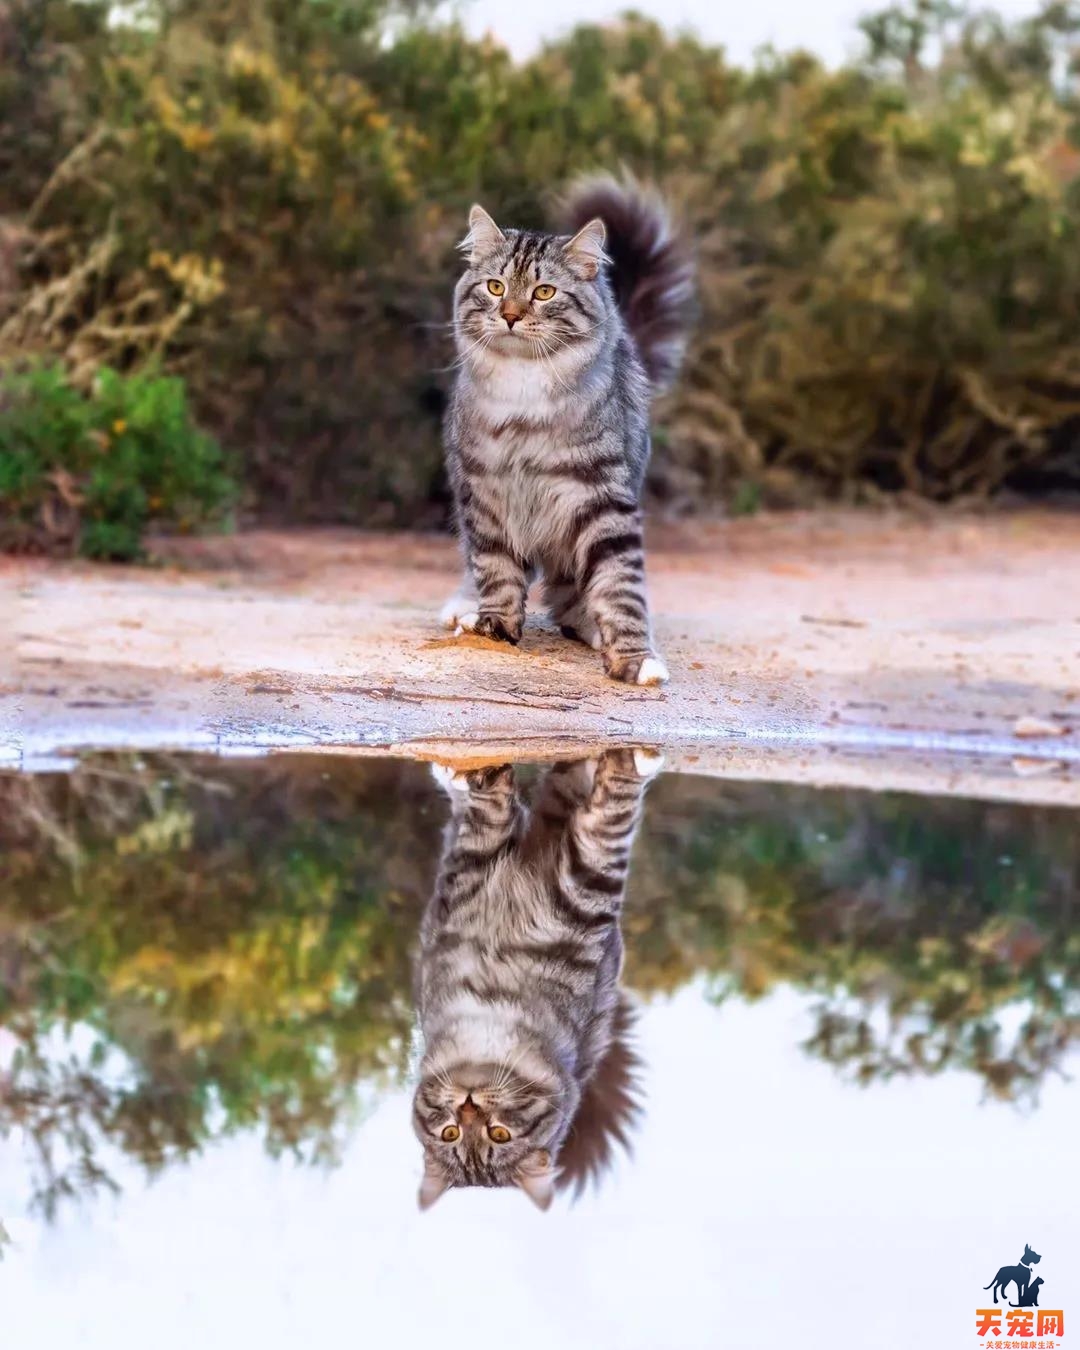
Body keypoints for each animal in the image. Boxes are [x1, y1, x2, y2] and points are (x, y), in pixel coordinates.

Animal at [410, 750, 658, 1215]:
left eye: (499, 1134)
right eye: (451, 1133)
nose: (468, 1107)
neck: (489, 1016)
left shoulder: (580, 890)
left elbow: (608, 818)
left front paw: (628, 765)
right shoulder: (471, 878)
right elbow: (491, 822)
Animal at [437, 176, 691, 685]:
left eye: (544, 292)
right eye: (496, 286)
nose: (511, 315)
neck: (524, 395)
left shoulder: (602, 498)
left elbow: (620, 585)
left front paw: (633, 658)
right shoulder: (485, 491)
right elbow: (495, 569)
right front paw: (494, 626)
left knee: (570, 597)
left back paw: (588, 625)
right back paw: (465, 608)